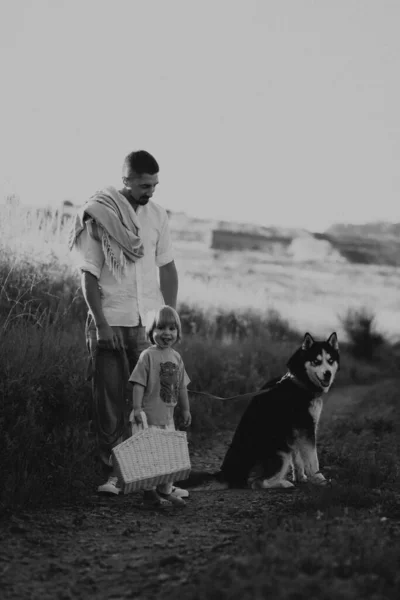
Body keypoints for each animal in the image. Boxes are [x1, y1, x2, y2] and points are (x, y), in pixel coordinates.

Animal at [183, 332, 340, 492]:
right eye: (316, 361)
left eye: (330, 361)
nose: (327, 374)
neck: (299, 381)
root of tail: (226, 474)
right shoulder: (306, 428)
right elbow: (313, 460)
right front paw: (320, 480)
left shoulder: (295, 432)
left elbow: (298, 460)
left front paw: (301, 477)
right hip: (281, 452)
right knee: (257, 483)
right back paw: (284, 483)